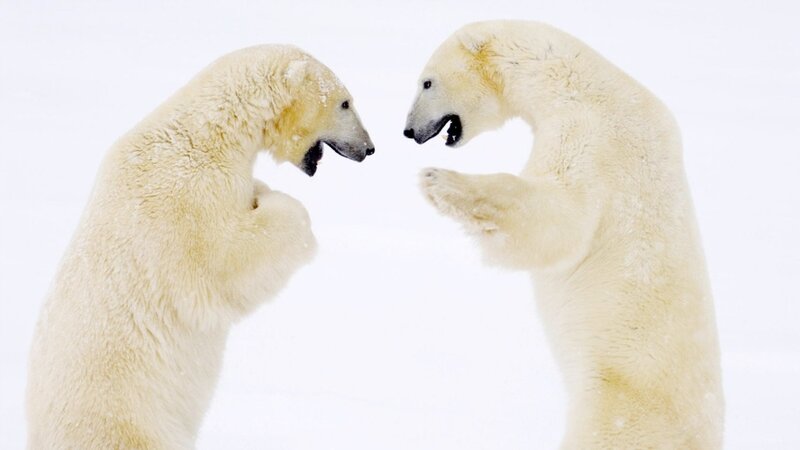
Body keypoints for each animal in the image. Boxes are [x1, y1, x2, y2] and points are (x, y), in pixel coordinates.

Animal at [26, 45, 374, 449]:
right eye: (345, 102)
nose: (369, 148)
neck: (208, 132)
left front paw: (260, 192)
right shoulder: (183, 197)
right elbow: (223, 266)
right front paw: (281, 207)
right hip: (129, 424)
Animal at [403, 21, 724, 449]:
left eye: (426, 82)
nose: (408, 131)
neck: (574, 81)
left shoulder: (592, 135)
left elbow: (561, 221)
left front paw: (439, 181)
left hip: (616, 409)